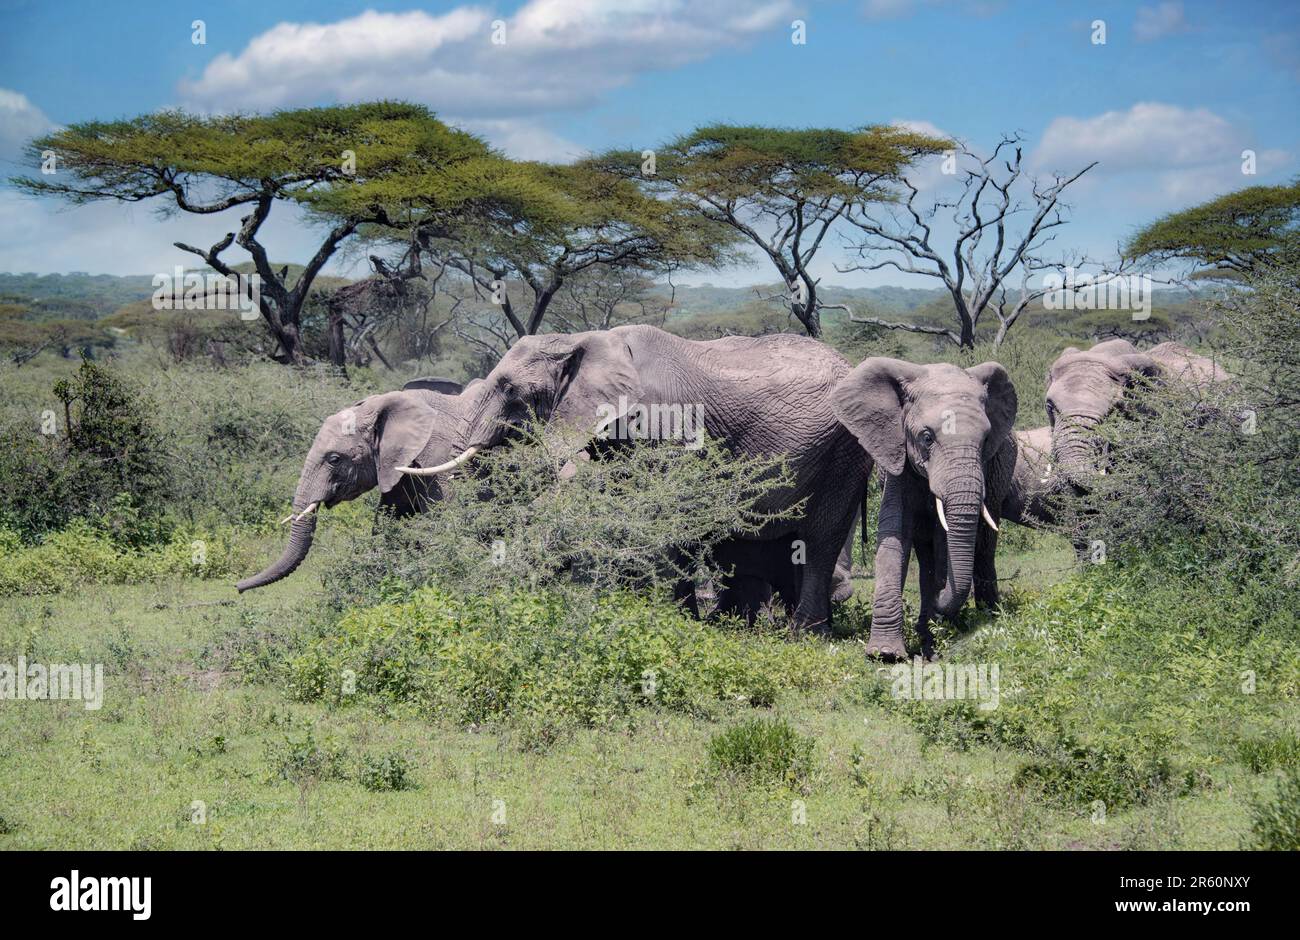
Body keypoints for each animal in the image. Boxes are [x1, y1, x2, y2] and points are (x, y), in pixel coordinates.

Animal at [390, 325, 868, 631]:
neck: (584, 340)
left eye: (509, 388)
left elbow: (668, 513)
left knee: (821, 538)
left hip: (844, 449)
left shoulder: (666, 422)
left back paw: (804, 636)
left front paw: (672, 621)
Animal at [826, 356, 1019, 657]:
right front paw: (885, 653)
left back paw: (985, 616)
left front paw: (935, 633)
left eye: (986, 440)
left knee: (984, 545)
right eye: (927, 438)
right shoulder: (896, 456)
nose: (941, 598)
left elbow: (943, 543)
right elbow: (894, 532)